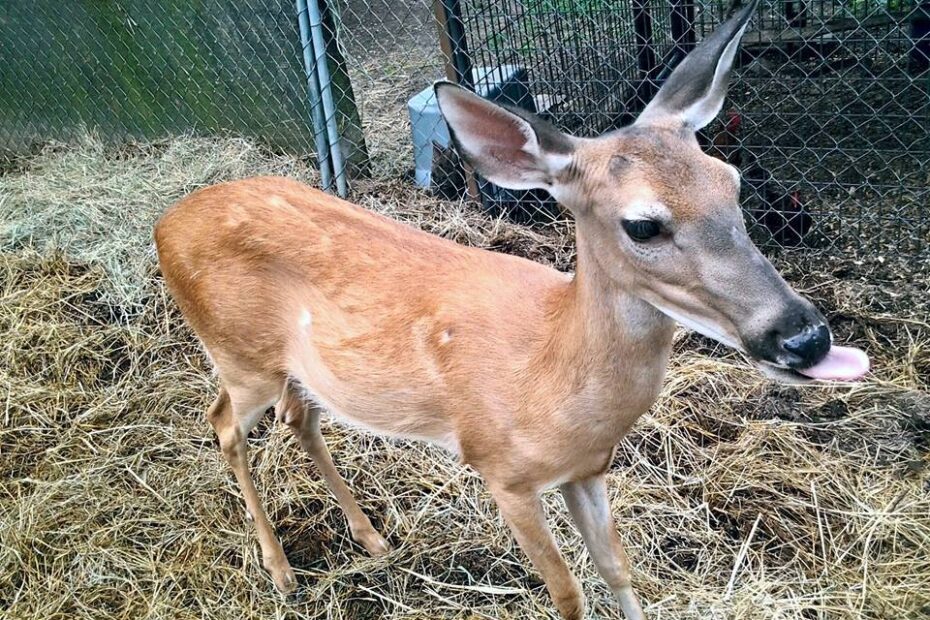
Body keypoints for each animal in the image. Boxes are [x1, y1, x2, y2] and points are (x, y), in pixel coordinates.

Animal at [154, 2, 869, 617]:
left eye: (732, 182)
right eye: (642, 225)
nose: (805, 336)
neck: (552, 375)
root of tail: (165, 224)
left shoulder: (589, 468)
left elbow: (618, 569)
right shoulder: (503, 470)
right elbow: (568, 593)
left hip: (294, 368)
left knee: (297, 415)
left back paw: (374, 540)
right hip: (237, 353)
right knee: (223, 423)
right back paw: (281, 571)